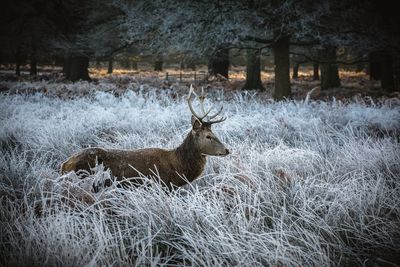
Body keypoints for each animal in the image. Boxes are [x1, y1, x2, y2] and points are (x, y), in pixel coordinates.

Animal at [61, 86, 231, 191]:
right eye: (208, 136)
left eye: (214, 133)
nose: (227, 150)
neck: (177, 168)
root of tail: (64, 164)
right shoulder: (162, 185)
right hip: (86, 178)